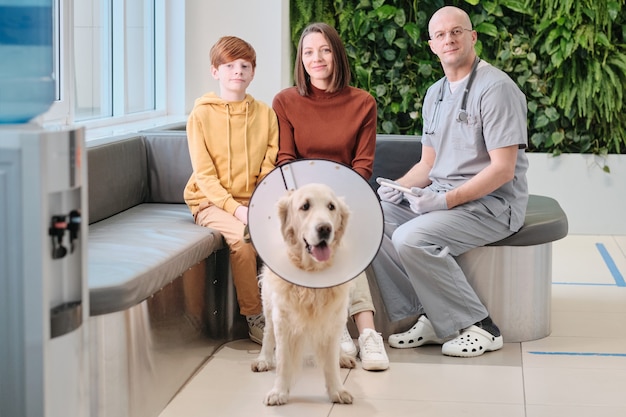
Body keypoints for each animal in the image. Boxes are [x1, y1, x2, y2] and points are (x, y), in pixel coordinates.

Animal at [250, 182, 356, 404]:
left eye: (331, 207)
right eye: (305, 206)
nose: (325, 228)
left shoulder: (334, 317)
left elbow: (331, 360)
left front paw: (337, 390)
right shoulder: (283, 319)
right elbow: (283, 361)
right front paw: (279, 392)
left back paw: (343, 357)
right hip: (268, 302)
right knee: (268, 333)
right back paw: (263, 359)